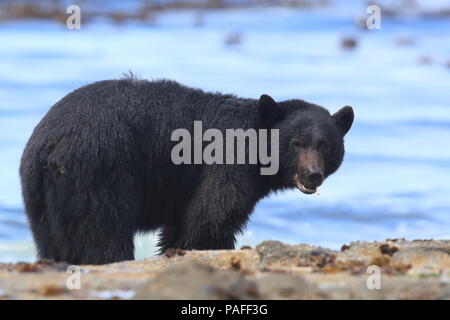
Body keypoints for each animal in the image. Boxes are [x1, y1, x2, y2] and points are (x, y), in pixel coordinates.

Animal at [19, 76, 354, 264]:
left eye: (325, 144)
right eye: (296, 143)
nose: (313, 174)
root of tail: (49, 148)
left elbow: (182, 223)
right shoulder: (225, 165)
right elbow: (211, 217)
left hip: (42, 198)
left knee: (52, 240)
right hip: (99, 172)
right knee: (102, 234)